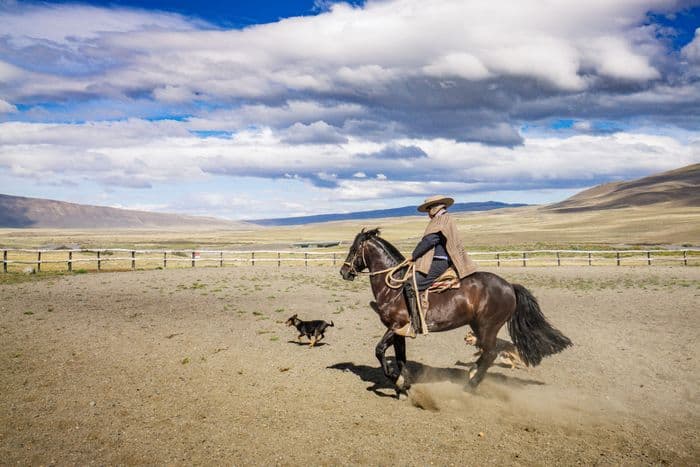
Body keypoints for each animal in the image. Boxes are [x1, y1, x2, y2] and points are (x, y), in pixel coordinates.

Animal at [340, 229, 576, 396]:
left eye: (353, 249)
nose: (343, 272)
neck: (394, 285)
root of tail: (510, 286)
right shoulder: (400, 331)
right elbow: (401, 358)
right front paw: (402, 385)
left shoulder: (396, 326)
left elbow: (379, 351)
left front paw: (395, 381)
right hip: (478, 326)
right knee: (486, 352)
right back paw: (471, 374)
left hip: (488, 326)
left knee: (490, 353)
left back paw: (470, 385)